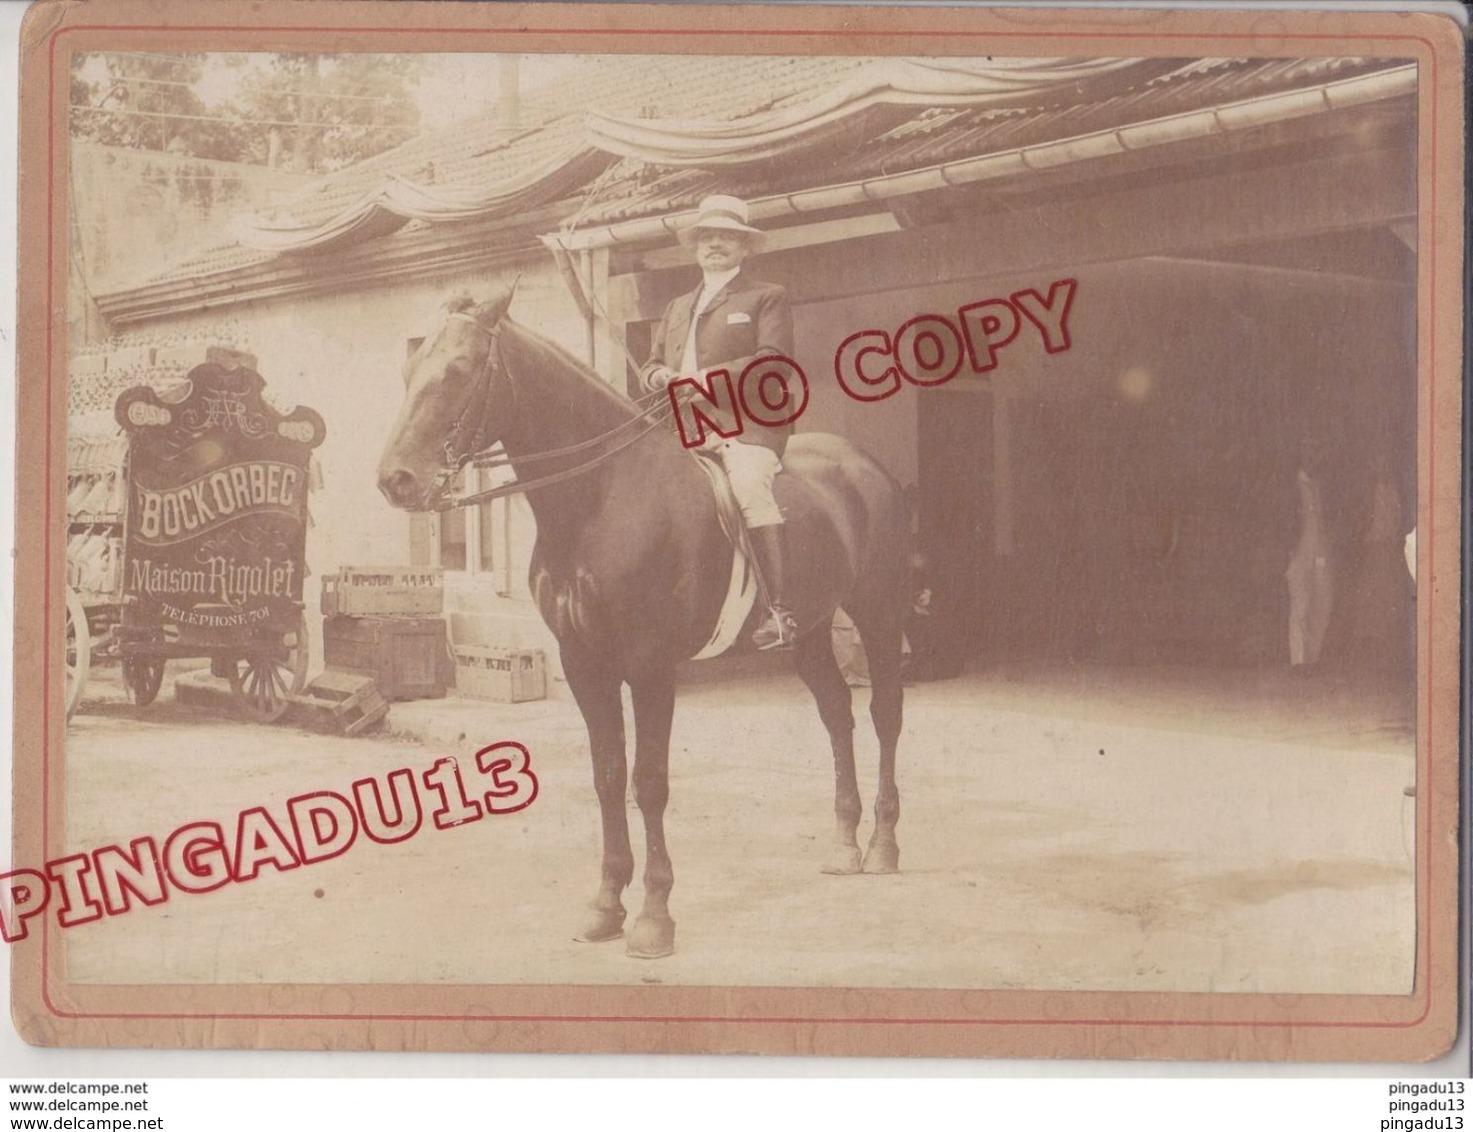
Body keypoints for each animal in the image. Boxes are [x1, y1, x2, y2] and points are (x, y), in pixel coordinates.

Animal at [380, 287, 907, 961]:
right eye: (407, 372)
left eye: (459, 369)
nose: (396, 480)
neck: (601, 497)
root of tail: (862, 464)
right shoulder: (584, 663)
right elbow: (608, 777)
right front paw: (606, 906)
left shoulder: (651, 667)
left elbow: (649, 781)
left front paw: (655, 917)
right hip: (810, 630)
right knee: (838, 714)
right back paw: (844, 842)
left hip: (878, 611)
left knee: (884, 714)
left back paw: (883, 844)